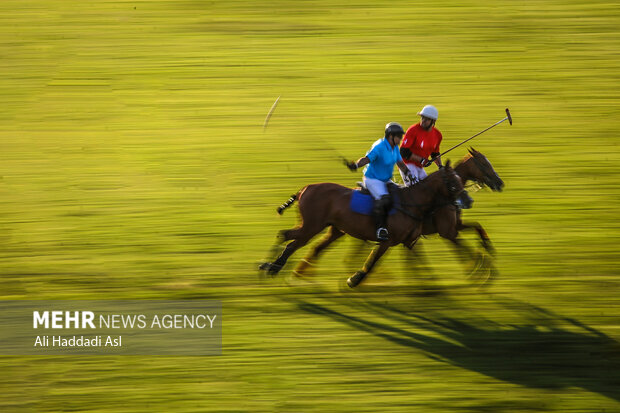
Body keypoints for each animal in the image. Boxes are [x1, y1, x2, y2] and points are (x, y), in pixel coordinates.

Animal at [260, 161, 462, 286]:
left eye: (460, 181)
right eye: (453, 183)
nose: (461, 204)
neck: (410, 202)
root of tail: (304, 189)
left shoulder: (408, 241)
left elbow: (421, 259)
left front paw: (432, 282)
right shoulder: (387, 241)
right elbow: (372, 261)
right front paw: (354, 280)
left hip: (325, 227)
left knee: (287, 235)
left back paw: (269, 265)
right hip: (312, 226)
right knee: (292, 242)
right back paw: (273, 267)